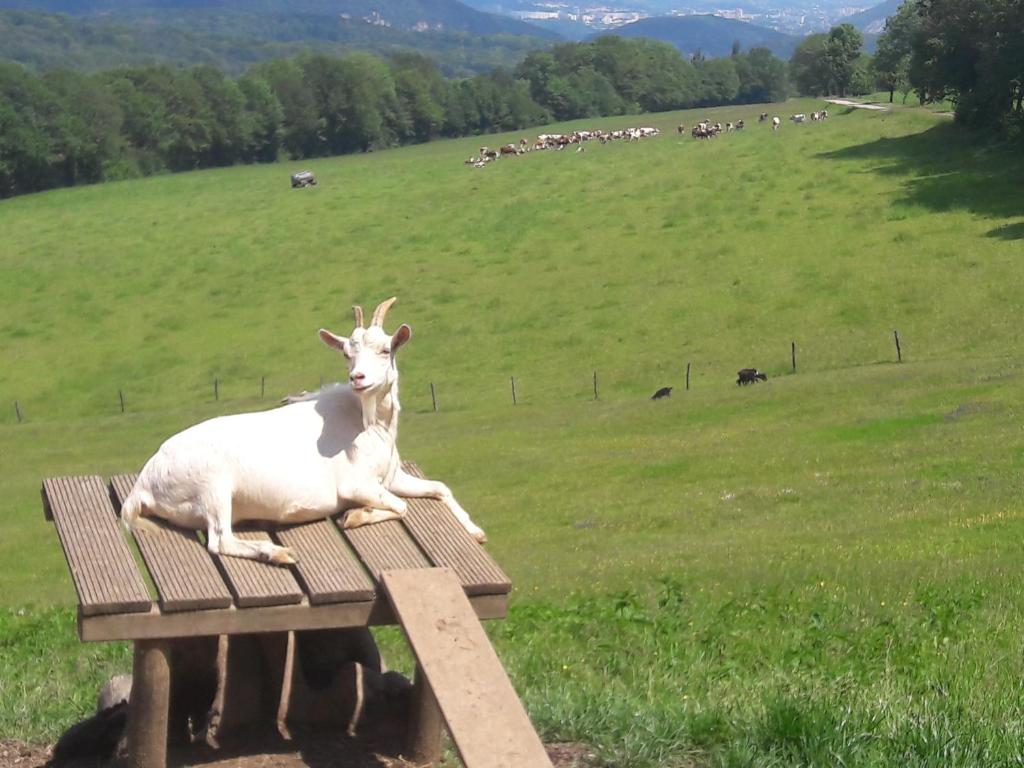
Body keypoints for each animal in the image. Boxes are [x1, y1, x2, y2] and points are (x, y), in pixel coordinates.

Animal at [121, 296, 485, 565]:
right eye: (347, 354)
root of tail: (144, 482)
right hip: (211, 484)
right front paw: (356, 516)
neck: (368, 423)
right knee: (220, 540)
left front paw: (474, 530)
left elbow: (439, 488)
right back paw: (277, 553)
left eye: (386, 349)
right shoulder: (357, 484)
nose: (358, 378)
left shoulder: (391, 477)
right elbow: (401, 507)